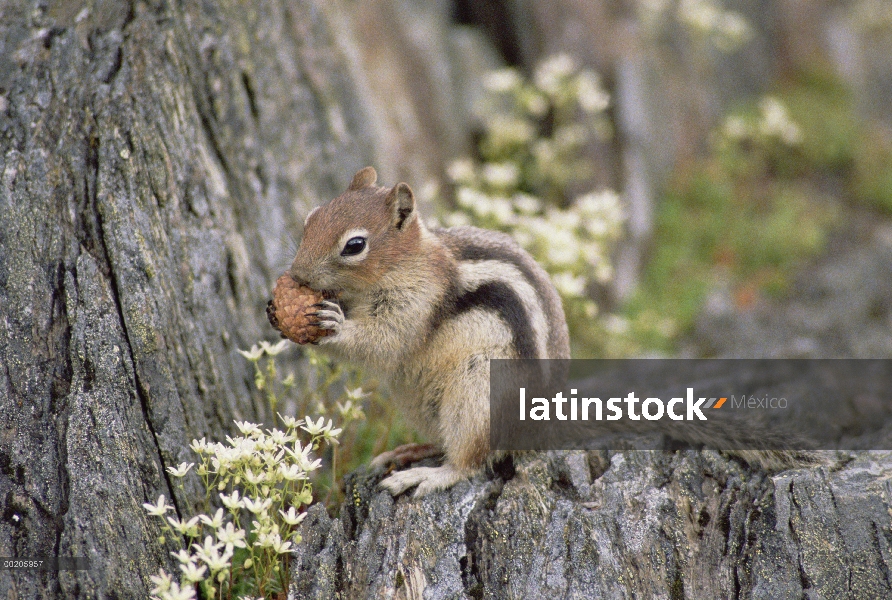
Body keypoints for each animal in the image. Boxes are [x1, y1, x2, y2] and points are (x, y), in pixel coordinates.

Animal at [292, 166, 572, 494]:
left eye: (355, 245)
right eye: (311, 218)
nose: (296, 274)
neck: (406, 262)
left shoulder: (417, 303)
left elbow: (383, 342)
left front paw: (335, 324)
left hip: (478, 395)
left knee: (468, 462)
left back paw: (425, 475)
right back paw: (410, 451)